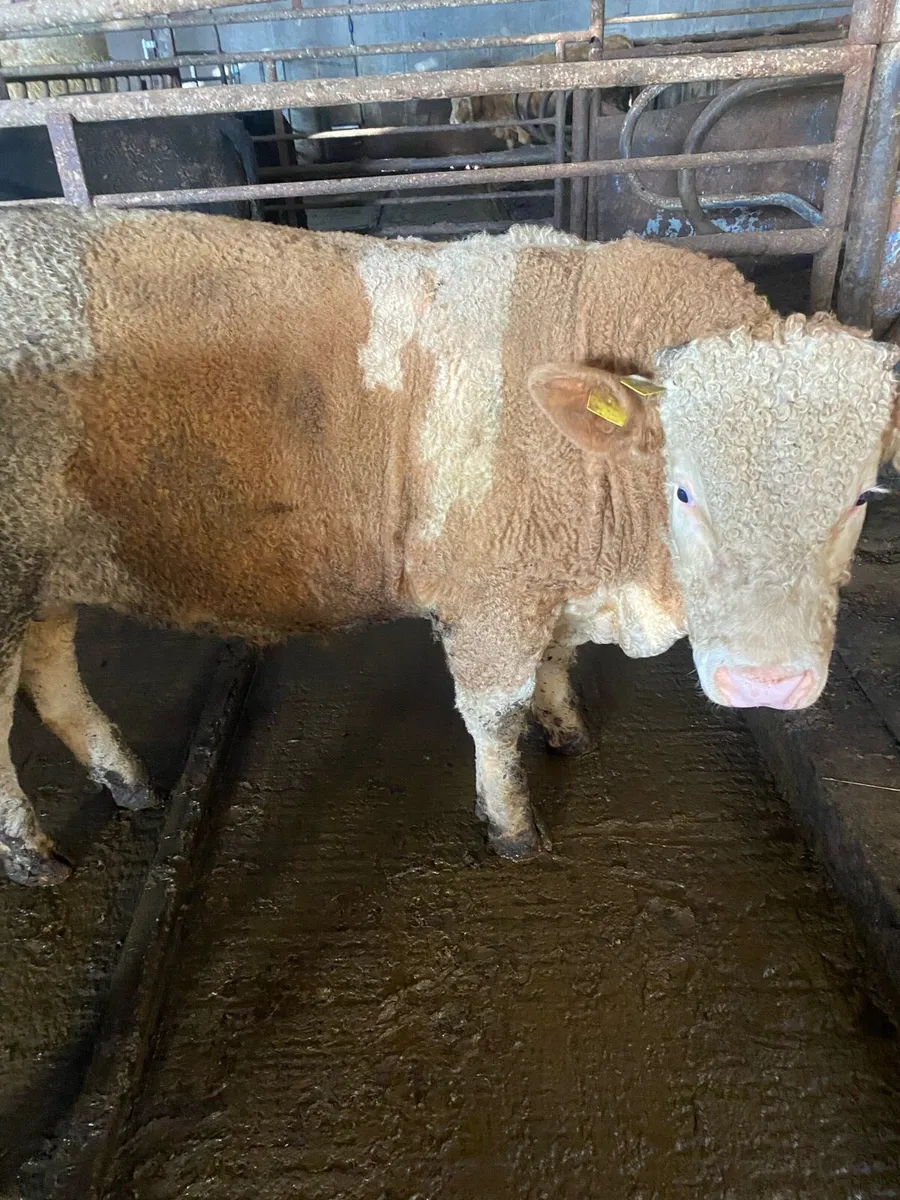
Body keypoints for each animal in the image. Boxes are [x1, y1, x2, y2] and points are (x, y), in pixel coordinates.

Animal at [0, 207, 896, 886]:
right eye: (683, 490)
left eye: (860, 495)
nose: (768, 683)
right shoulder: (495, 593)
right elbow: (495, 715)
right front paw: (512, 827)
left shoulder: (546, 580)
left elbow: (556, 661)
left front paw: (567, 728)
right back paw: (34, 854)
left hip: (43, 578)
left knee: (51, 674)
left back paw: (128, 782)